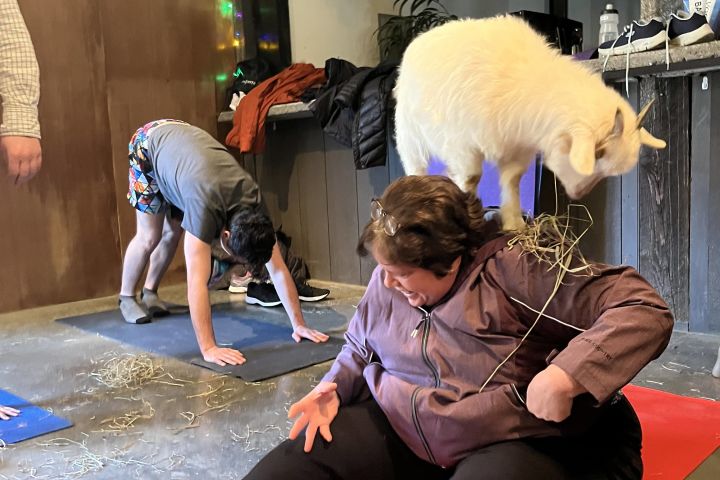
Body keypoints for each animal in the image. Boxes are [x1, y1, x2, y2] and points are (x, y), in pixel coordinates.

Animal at [396, 15, 668, 230]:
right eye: (598, 153)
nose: (578, 193)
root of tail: (422, 38)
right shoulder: (463, 144)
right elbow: (470, 179)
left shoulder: (518, 149)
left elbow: (513, 181)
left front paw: (514, 223)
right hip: (409, 132)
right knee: (415, 165)